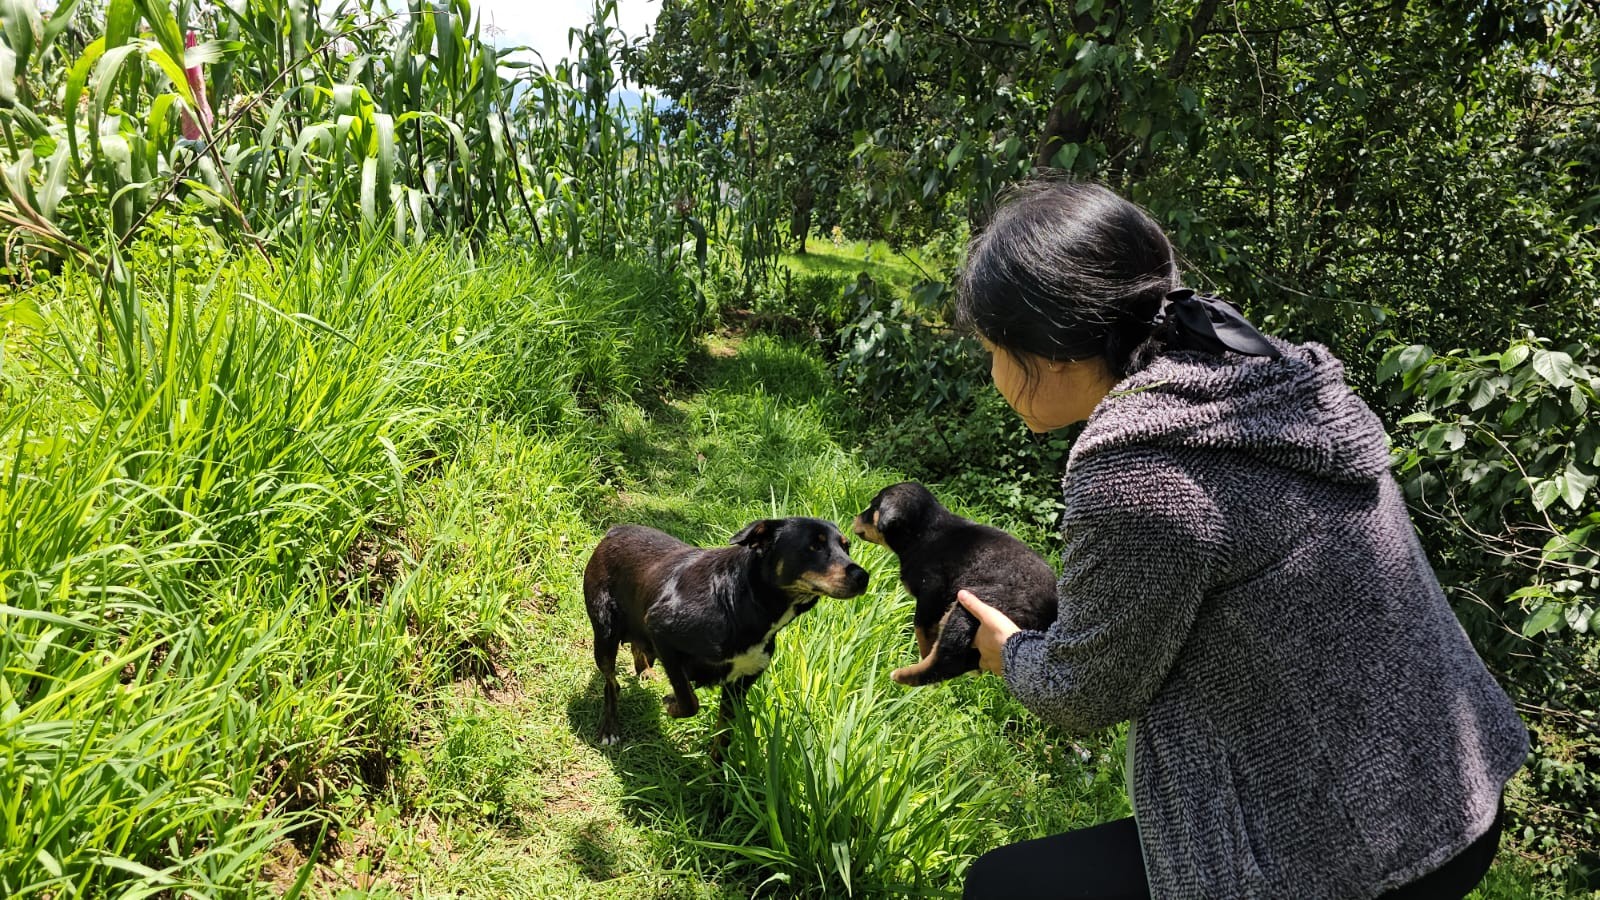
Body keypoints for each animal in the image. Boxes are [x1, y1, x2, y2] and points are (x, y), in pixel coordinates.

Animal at [583, 517, 869, 747]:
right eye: (814, 546)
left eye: (846, 547)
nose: (863, 576)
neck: (743, 603)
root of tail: (615, 531)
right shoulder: (661, 630)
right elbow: (689, 701)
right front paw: (671, 704)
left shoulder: (740, 684)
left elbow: (723, 739)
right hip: (605, 634)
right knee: (611, 682)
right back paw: (609, 729)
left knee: (636, 648)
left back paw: (645, 672)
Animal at [852, 482, 1057, 686]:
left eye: (873, 506)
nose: (854, 519)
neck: (921, 536)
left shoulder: (931, 591)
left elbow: (921, 627)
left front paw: (924, 651)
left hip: (970, 608)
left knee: (948, 659)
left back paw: (904, 675)